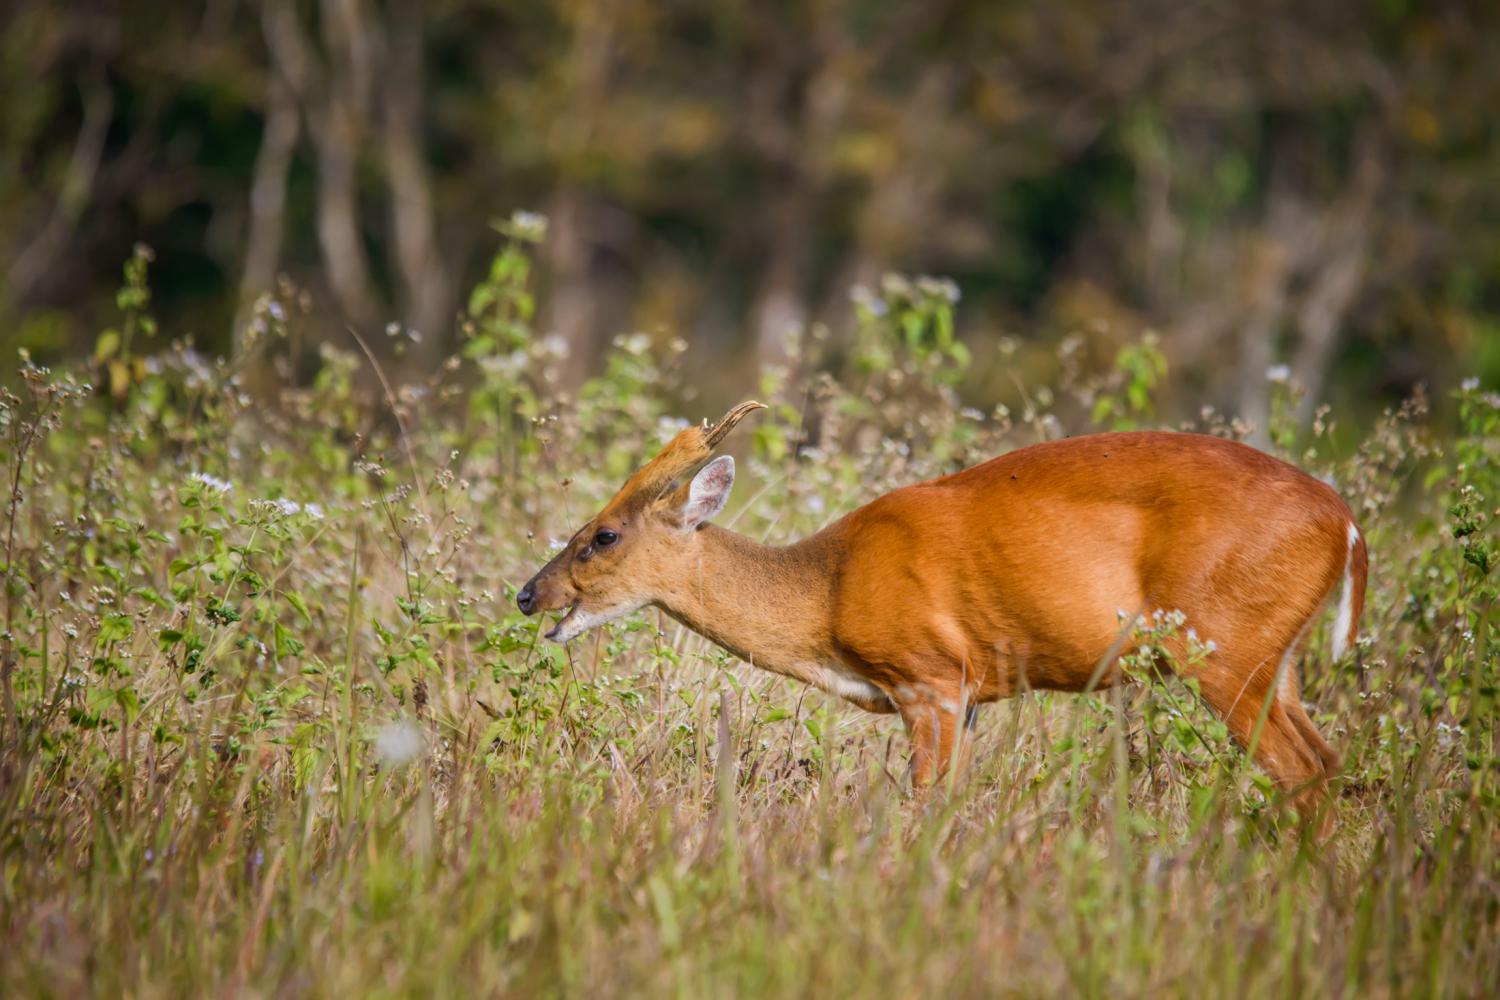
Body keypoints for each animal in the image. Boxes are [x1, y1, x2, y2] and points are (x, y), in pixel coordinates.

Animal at [522, 401, 1368, 821]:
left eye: (601, 535)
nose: (530, 593)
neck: (827, 591)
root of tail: (1346, 521)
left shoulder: (927, 674)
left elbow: (926, 802)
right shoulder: (964, 695)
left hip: (1225, 643)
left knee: (1301, 767)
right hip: (1278, 656)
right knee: (1326, 762)